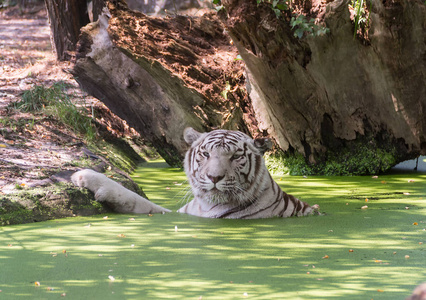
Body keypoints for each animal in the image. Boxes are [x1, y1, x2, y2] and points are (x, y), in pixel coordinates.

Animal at [71, 127, 318, 219]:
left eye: (236, 156)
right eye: (206, 154)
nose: (214, 178)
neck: (205, 205)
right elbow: (135, 199)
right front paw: (83, 176)